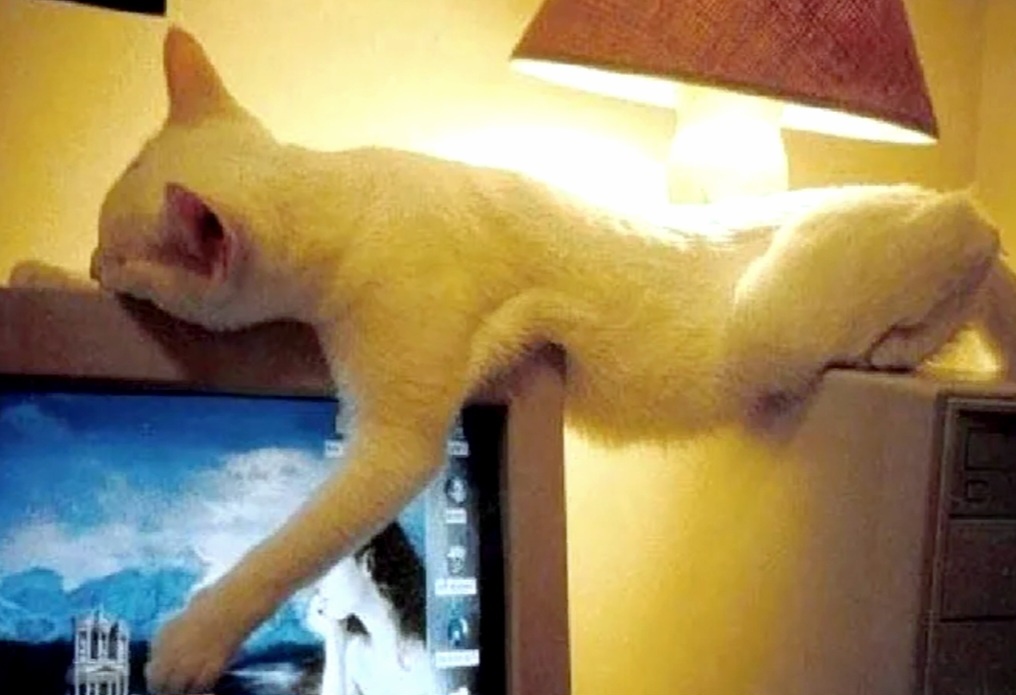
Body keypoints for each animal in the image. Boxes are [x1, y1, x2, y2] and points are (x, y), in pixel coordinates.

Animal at [10, 25, 1016, 694]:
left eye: (123, 252)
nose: (96, 264)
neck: (347, 190)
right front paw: (33, 268)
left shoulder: (398, 441)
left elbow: (292, 543)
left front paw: (189, 643)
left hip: (785, 316)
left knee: (977, 242)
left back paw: (904, 340)